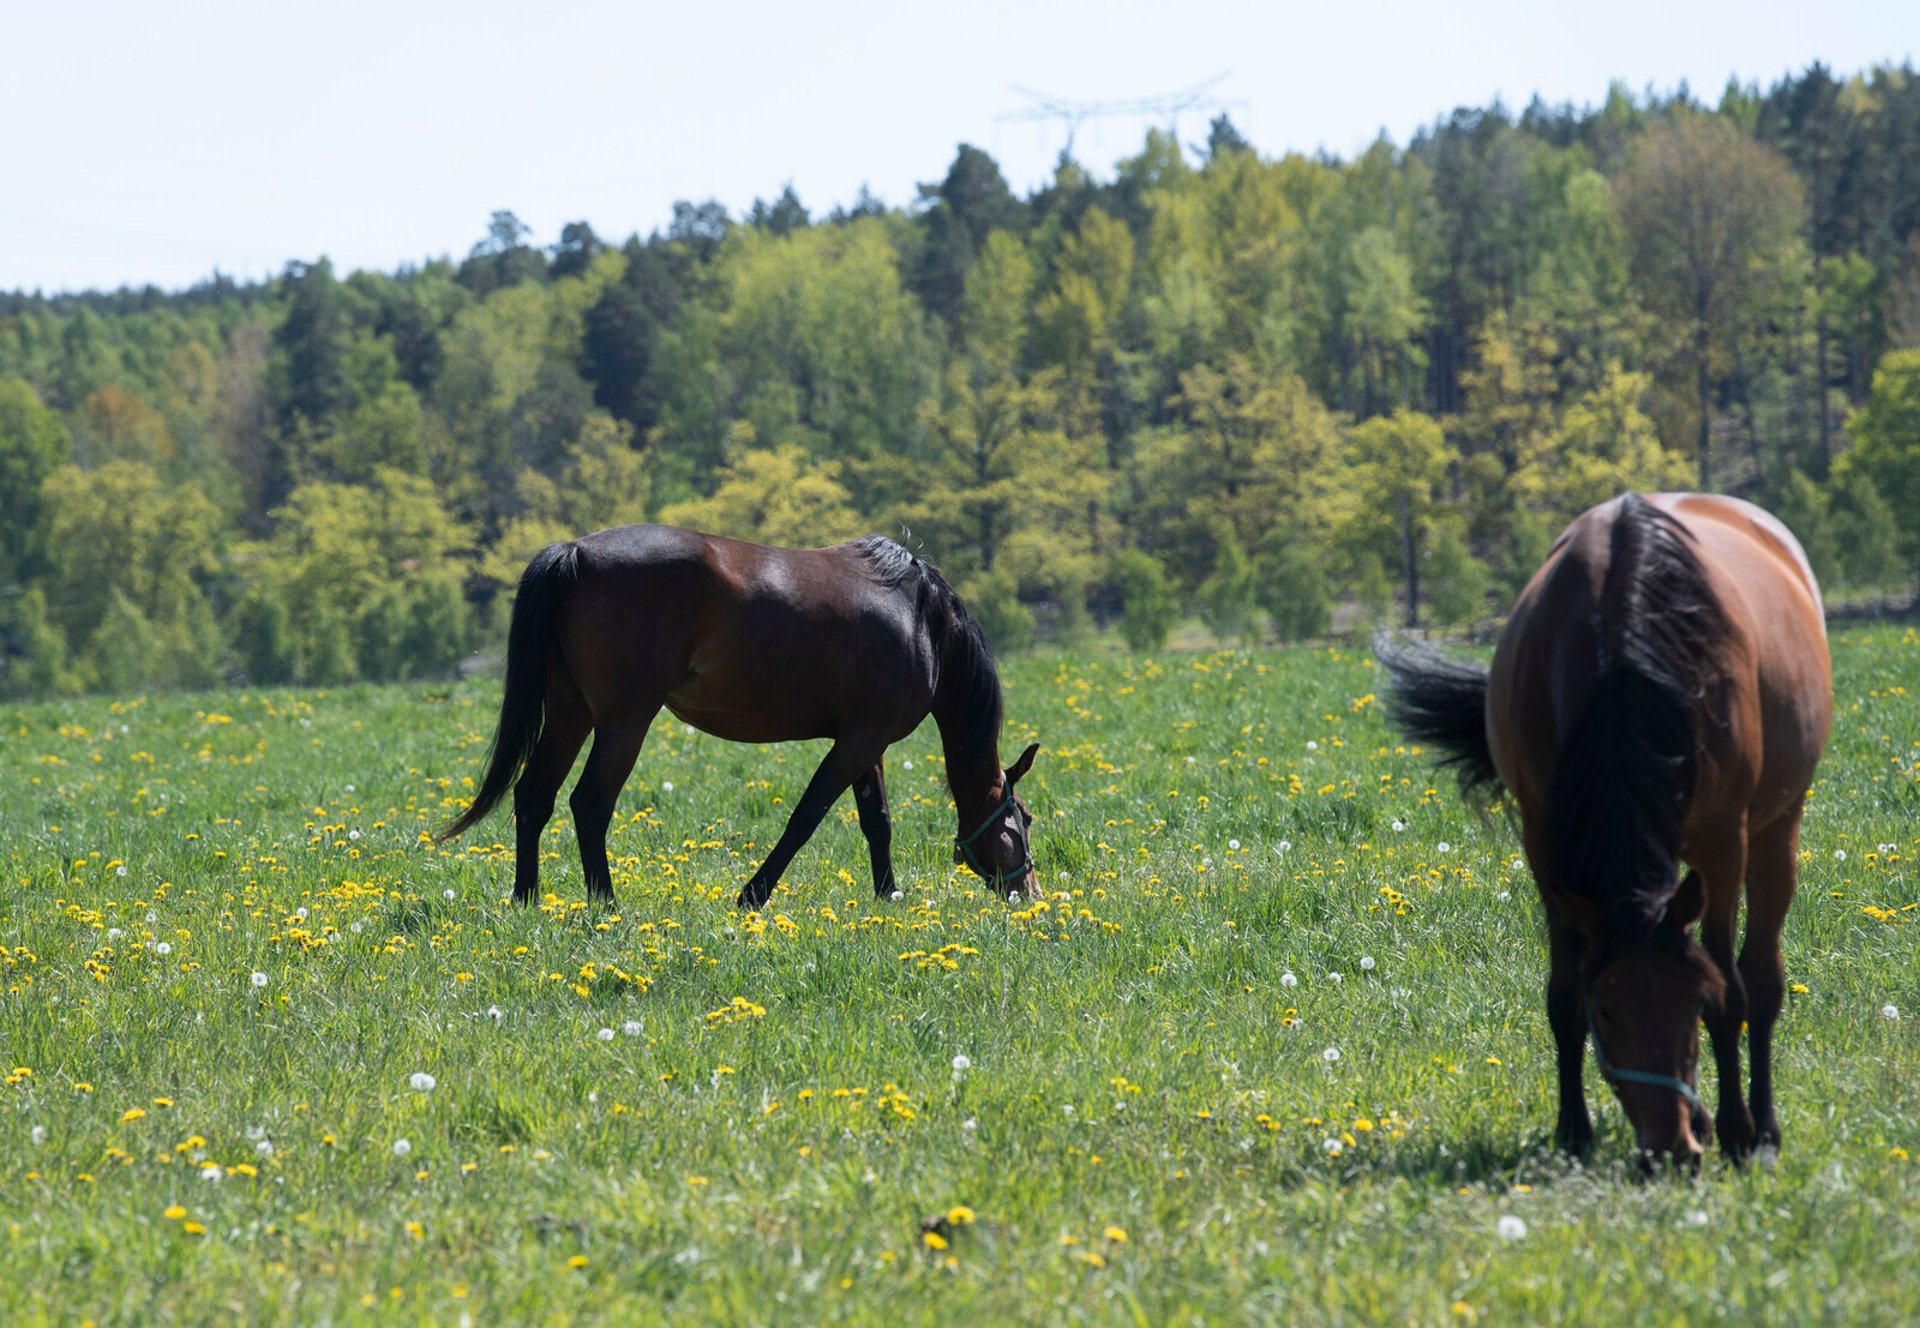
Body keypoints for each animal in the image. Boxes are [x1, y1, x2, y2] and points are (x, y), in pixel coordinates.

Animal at [439, 529, 1036, 913]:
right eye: (1024, 820)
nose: (1029, 893)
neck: (920, 619)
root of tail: (576, 553)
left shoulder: (867, 742)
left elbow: (877, 822)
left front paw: (887, 896)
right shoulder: (860, 741)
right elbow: (805, 819)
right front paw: (752, 895)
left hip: (570, 712)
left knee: (534, 796)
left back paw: (526, 900)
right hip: (624, 721)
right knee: (589, 803)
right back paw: (607, 906)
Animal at [1382, 491, 1827, 1166]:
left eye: (1692, 1002)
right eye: (1607, 1010)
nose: (1670, 1151)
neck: (1627, 664)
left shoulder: (1724, 841)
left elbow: (1732, 990)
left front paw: (1735, 1130)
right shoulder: (1546, 843)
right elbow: (1561, 993)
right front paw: (1573, 1131)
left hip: (1778, 825)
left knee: (1762, 977)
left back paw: (1764, 1130)